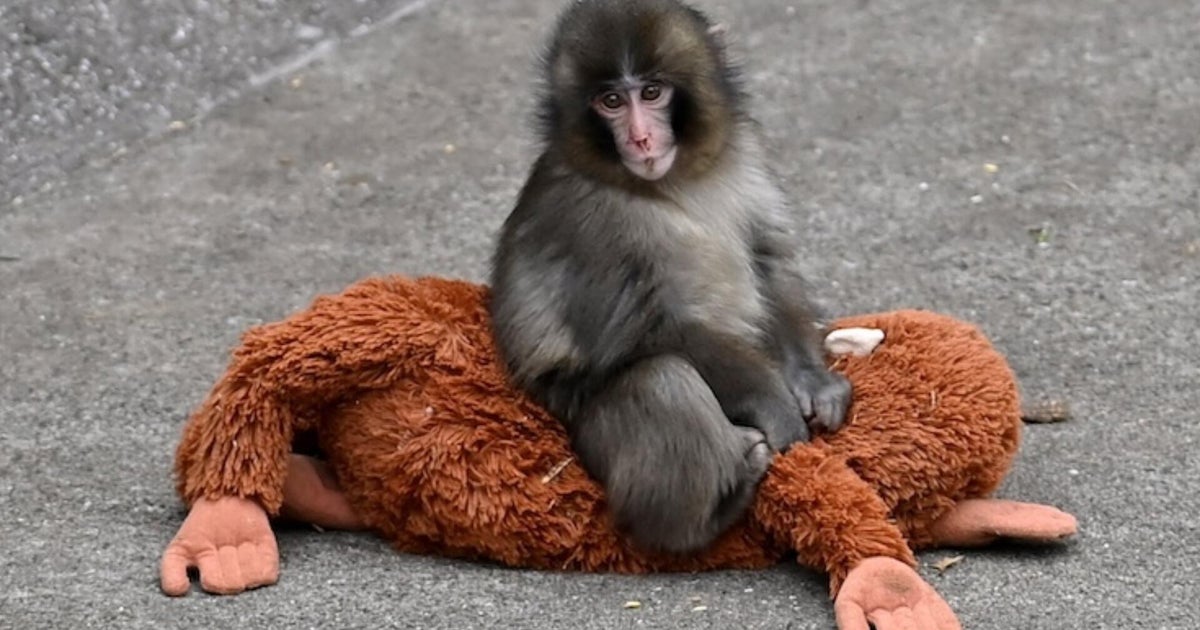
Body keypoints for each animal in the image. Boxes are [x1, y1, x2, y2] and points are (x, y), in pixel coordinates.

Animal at [487, 0, 851, 555]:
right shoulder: (591, 221)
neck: (671, 182)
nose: (640, 137)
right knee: (661, 379)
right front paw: (776, 407)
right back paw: (712, 511)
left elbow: (767, 259)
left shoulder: (745, 152)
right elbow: (652, 330)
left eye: (652, 92)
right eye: (611, 101)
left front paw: (813, 383)